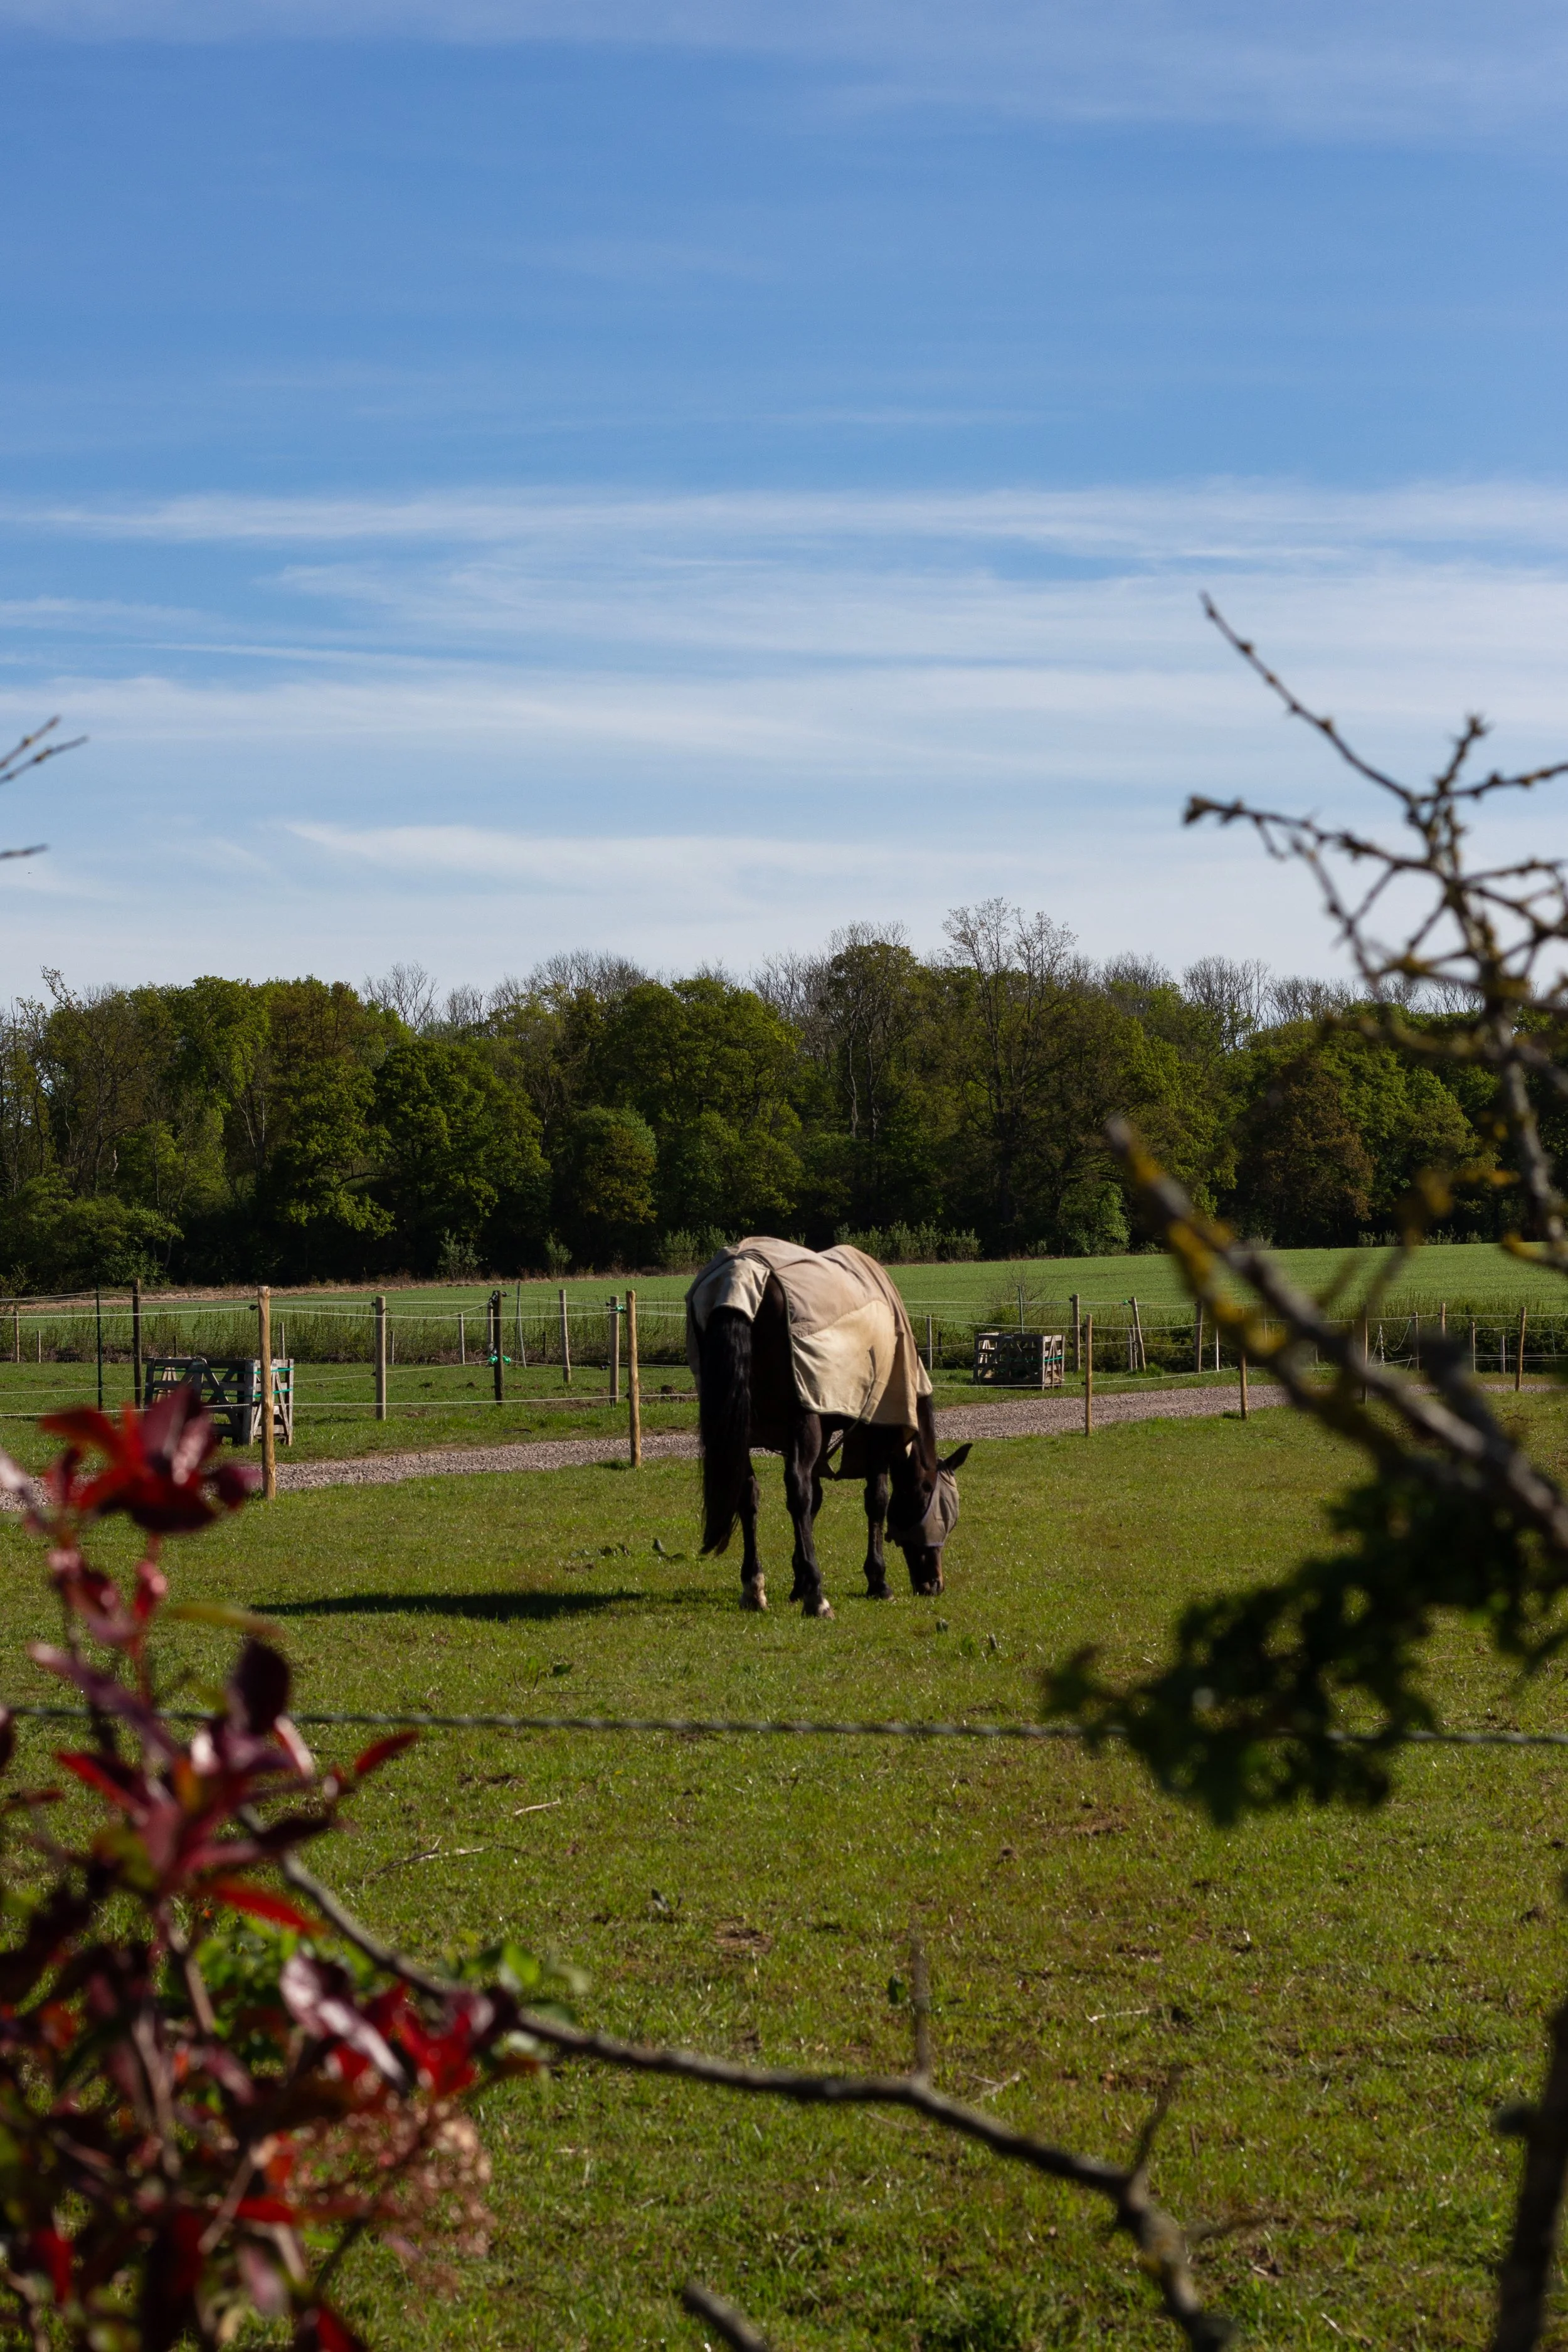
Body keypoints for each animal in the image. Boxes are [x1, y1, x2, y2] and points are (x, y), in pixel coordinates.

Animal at [689, 1246, 970, 1618]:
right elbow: (875, 1500)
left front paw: (797, 1579)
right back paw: (817, 1596)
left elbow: (816, 1501)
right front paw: (876, 1580)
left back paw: (754, 1586)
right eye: (942, 1509)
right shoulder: (875, 1432)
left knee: (749, 1491)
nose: (934, 1584)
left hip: (739, 1425)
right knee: (797, 1489)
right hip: (802, 1419)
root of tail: (741, 1275)